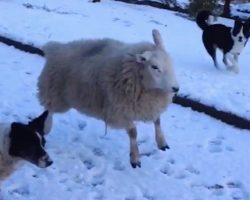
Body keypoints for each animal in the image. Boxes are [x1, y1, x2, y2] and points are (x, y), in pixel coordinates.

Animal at [37, 29, 179, 167]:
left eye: (170, 62)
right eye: (154, 67)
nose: (176, 88)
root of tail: (55, 48)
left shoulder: (149, 106)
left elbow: (157, 121)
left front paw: (162, 142)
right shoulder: (119, 112)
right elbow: (133, 132)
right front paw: (135, 158)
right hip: (54, 92)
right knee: (49, 109)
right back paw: (47, 126)